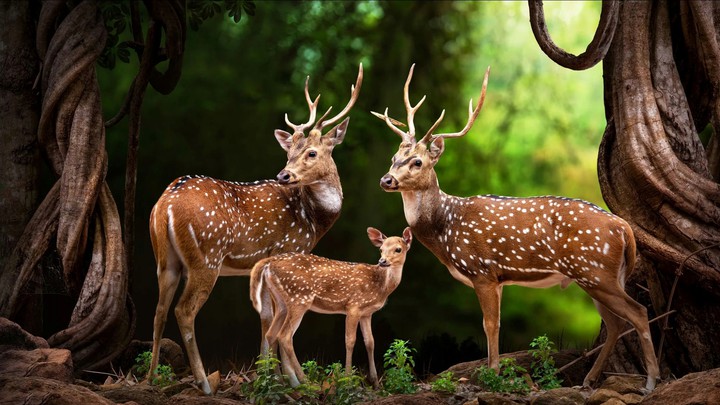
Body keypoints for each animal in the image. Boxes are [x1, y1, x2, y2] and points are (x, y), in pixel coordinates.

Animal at [147, 64, 363, 394]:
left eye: (311, 152)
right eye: (289, 153)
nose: (284, 174)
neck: (313, 220)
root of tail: (164, 205)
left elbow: (265, 317)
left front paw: (269, 375)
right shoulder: (287, 251)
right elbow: (274, 320)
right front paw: (284, 379)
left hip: (165, 259)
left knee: (158, 310)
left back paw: (151, 377)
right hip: (206, 257)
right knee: (183, 311)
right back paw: (204, 382)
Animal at [249, 227, 413, 388]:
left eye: (398, 249)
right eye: (381, 249)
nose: (382, 261)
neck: (381, 285)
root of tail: (268, 262)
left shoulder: (367, 313)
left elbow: (370, 342)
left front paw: (375, 382)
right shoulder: (354, 306)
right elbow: (350, 341)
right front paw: (347, 380)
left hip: (281, 302)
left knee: (271, 334)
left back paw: (278, 380)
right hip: (299, 298)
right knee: (284, 336)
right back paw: (303, 381)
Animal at [371, 64, 660, 392]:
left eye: (417, 162)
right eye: (394, 158)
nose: (386, 179)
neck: (446, 228)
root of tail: (624, 228)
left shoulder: (482, 270)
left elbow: (490, 324)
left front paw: (492, 374)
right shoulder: (498, 278)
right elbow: (494, 324)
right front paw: (493, 371)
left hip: (596, 271)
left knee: (637, 313)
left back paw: (650, 381)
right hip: (599, 276)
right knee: (615, 323)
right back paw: (588, 380)